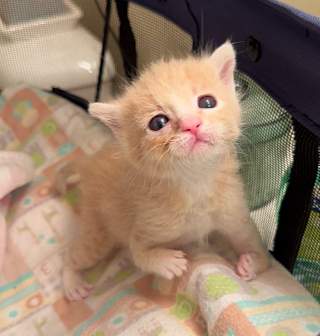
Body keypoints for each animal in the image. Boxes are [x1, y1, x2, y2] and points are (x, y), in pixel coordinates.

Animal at [57, 42, 270, 302]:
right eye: (158, 123)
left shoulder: (234, 214)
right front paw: (165, 261)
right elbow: (138, 251)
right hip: (99, 232)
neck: (196, 181)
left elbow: (258, 249)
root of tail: (91, 162)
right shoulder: (149, 225)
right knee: (74, 254)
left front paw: (253, 263)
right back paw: (72, 283)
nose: (192, 124)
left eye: (207, 102)